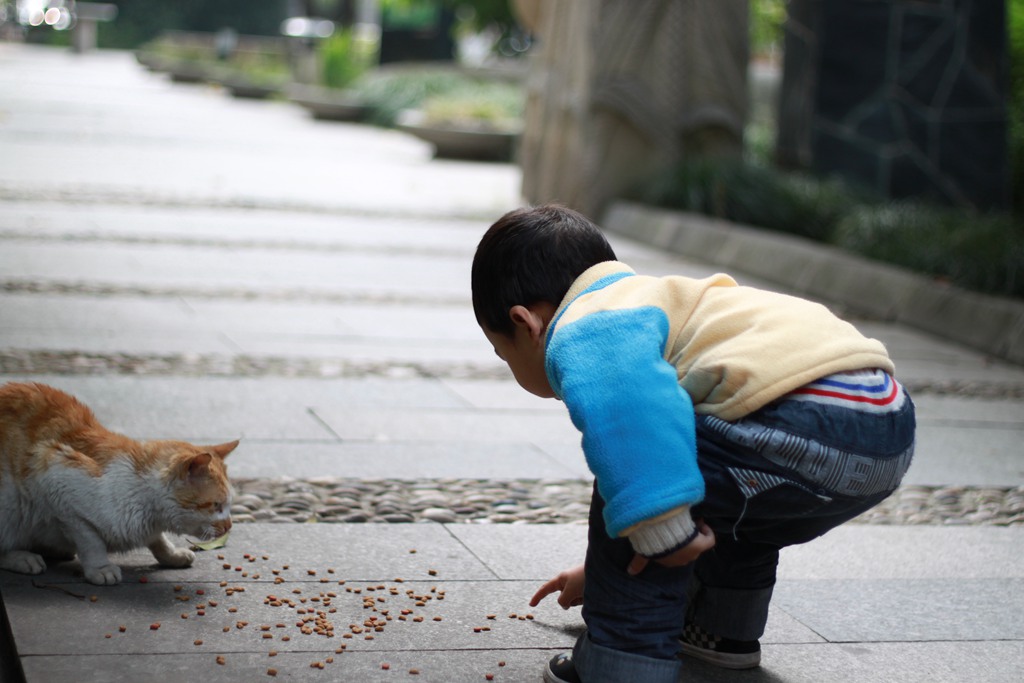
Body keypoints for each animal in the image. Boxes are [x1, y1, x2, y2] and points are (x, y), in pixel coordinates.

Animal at [0, 382, 237, 585]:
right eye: (216, 505)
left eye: (228, 505)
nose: (229, 526)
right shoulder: (54, 478)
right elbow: (91, 539)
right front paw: (100, 567)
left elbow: (158, 540)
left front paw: (171, 554)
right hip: (11, 504)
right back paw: (23, 557)